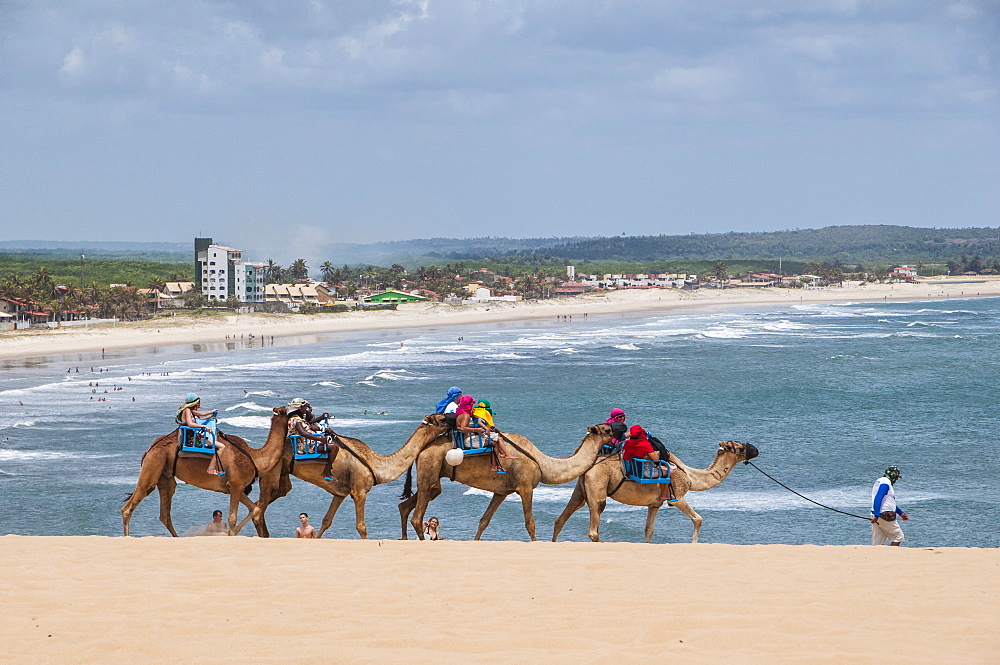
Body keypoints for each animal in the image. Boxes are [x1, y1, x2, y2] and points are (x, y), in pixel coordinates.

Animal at [122, 404, 290, 536]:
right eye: (289, 410)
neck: (255, 457)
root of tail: (150, 449)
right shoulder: (236, 484)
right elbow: (232, 518)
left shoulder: (234, 486)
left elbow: (255, 510)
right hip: (154, 463)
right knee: (130, 506)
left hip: (165, 474)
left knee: (165, 514)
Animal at [252, 412, 452, 536]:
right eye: (442, 419)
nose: (453, 421)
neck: (376, 464)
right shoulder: (359, 491)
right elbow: (361, 526)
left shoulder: (340, 492)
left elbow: (326, 521)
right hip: (272, 472)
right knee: (259, 508)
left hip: (282, 475)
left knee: (266, 501)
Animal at [394, 422, 612, 544]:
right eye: (608, 429)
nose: (620, 430)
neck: (542, 462)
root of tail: (421, 451)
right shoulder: (525, 487)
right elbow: (530, 522)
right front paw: (536, 542)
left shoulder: (502, 492)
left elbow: (484, 520)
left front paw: (476, 541)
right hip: (430, 466)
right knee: (418, 515)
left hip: (432, 474)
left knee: (410, 503)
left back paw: (404, 538)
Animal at [548, 438, 756, 544]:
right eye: (739, 447)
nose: (756, 449)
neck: (690, 476)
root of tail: (590, 465)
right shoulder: (676, 495)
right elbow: (698, 519)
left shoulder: (654, 504)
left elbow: (649, 530)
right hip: (598, 484)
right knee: (594, 525)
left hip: (581, 488)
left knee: (563, 517)